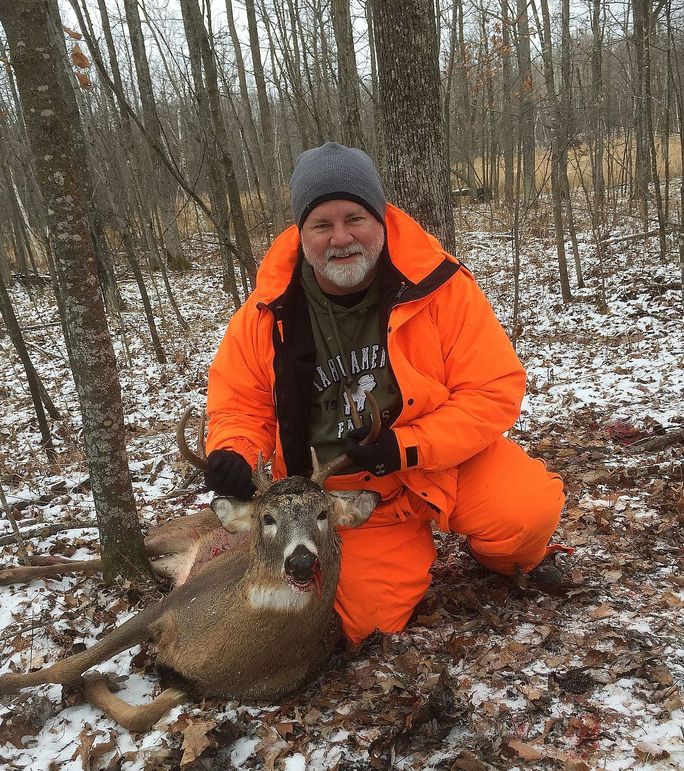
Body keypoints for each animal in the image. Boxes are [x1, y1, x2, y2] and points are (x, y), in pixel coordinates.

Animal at [0, 396, 381, 732]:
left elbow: (140, 716)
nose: (301, 562)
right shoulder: (169, 604)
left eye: (323, 514)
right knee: (118, 552)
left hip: (174, 567)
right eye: (267, 518)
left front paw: (94, 683)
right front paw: (9, 682)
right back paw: (18, 567)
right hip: (175, 533)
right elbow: (67, 666)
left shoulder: (193, 684)